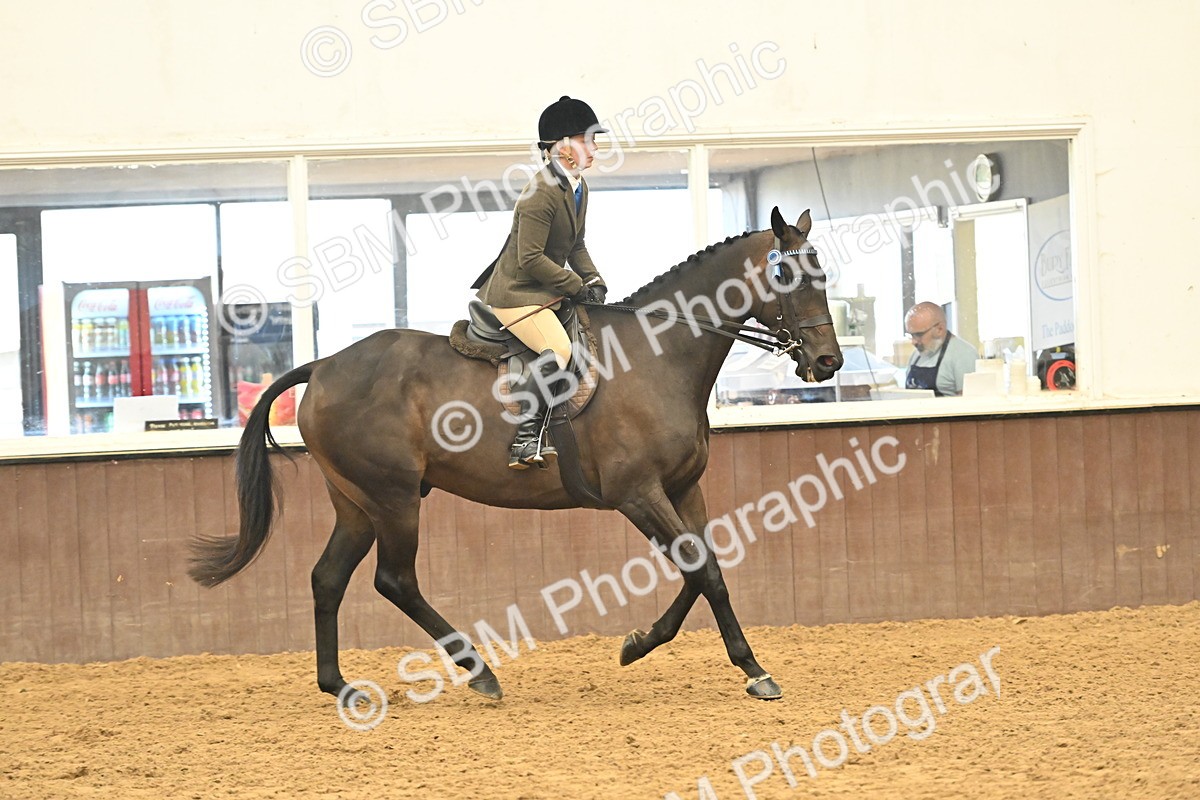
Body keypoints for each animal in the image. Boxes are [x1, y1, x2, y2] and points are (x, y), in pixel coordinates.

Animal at [189, 207, 843, 704]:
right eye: (792, 278)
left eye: (824, 276)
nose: (828, 362)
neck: (660, 355)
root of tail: (322, 365)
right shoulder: (637, 494)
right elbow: (700, 569)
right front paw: (754, 671)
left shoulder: (683, 488)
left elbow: (705, 568)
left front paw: (639, 644)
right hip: (392, 498)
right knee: (394, 580)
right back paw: (479, 672)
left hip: (356, 503)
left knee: (328, 578)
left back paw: (339, 686)